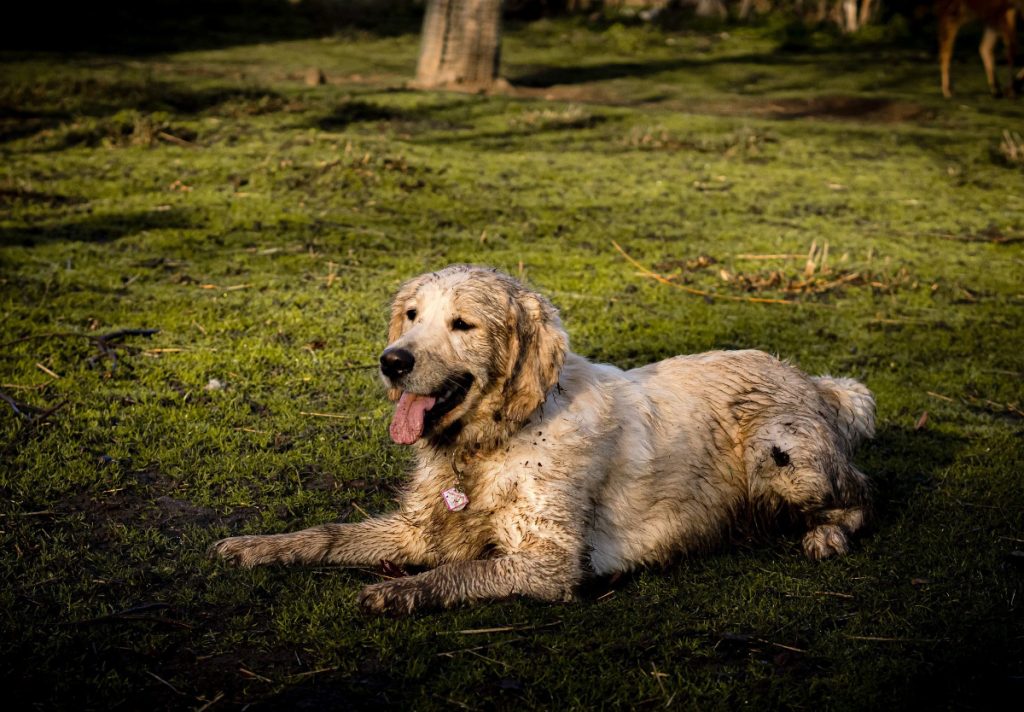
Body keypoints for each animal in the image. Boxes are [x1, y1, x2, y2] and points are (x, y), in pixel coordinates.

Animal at [211, 264, 876, 614]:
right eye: (411, 315)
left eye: (462, 324)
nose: (392, 361)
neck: (492, 442)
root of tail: (812, 380)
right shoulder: (419, 529)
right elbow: (326, 534)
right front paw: (257, 546)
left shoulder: (550, 563)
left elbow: (458, 573)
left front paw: (395, 591)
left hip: (784, 454)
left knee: (862, 491)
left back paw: (826, 535)